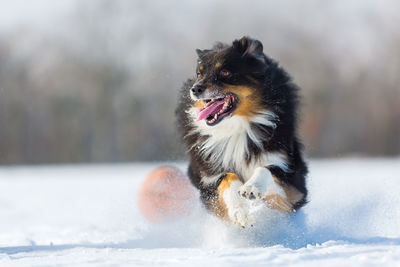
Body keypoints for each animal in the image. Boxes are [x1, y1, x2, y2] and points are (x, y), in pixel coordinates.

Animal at [176, 36, 310, 227]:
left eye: (225, 72)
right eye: (199, 74)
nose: (195, 89)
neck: (238, 126)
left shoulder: (293, 183)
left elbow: (267, 168)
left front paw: (251, 188)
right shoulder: (208, 180)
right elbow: (227, 177)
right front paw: (241, 212)